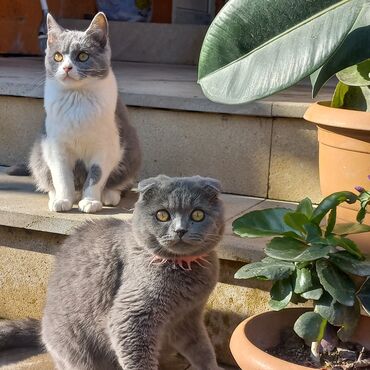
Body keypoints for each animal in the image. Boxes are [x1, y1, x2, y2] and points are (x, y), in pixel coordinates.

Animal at [0, 175, 225, 368]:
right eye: (162, 215)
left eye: (198, 214)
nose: (180, 230)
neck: (184, 268)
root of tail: (42, 325)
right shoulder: (130, 317)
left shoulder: (188, 318)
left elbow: (203, 351)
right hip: (74, 345)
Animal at [29, 11, 140, 212]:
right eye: (57, 56)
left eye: (82, 56)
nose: (67, 67)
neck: (77, 97)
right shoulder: (56, 146)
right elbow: (61, 176)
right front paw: (62, 200)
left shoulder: (106, 147)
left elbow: (96, 176)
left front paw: (90, 201)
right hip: (38, 154)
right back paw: (60, 196)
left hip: (132, 150)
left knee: (120, 181)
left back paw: (109, 196)